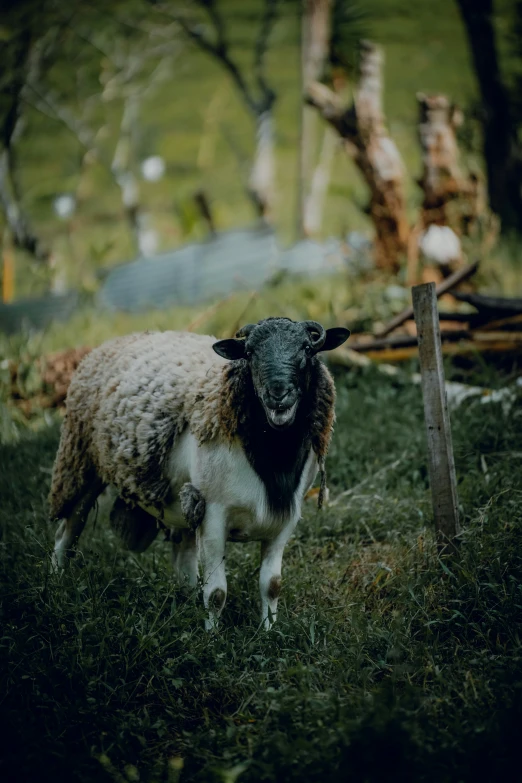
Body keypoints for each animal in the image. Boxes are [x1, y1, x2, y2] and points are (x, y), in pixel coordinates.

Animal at [48, 316, 350, 628]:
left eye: (307, 349)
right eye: (249, 353)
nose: (278, 395)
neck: (273, 460)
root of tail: (110, 342)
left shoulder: (284, 519)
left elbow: (272, 584)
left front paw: (269, 630)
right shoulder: (214, 515)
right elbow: (217, 592)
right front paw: (213, 635)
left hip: (185, 502)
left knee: (184, 557)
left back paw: (186, 600)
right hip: (81, 463)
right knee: (67, 532)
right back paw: (57, 583)